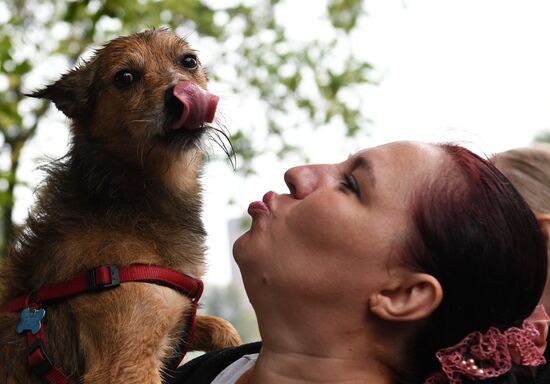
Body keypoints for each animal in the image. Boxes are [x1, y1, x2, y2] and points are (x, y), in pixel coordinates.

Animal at [0, 28, 242, 382]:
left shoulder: (177, 318)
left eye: (189, 61)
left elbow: (220, 328)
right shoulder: (126, 364)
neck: (130, 197)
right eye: (125, 77)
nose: (183, 94)